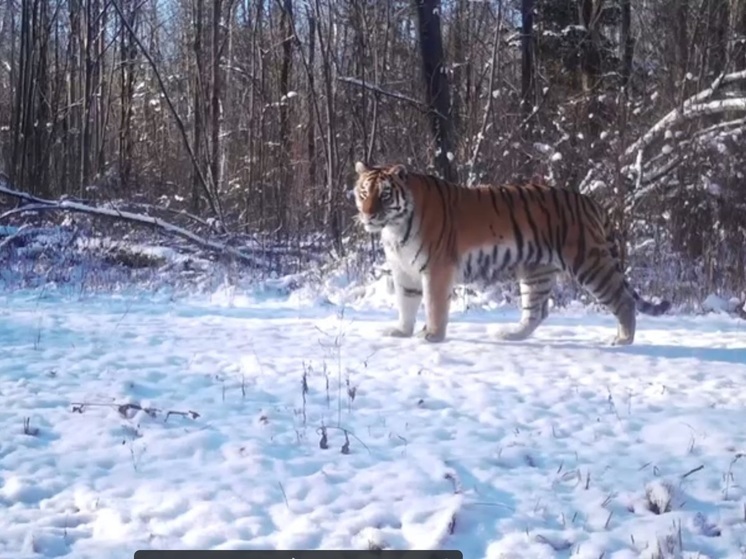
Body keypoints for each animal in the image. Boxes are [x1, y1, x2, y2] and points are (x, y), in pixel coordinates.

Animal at [348, 161, 668, 346]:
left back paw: (623, 339)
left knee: (623, 299)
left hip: (589, 262)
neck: (394, 228)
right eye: (363, 193)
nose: (367, 215)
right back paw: (510, 335)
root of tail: (591, 201)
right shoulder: (404, 270)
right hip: (536, 271)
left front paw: (432, 336)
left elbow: (435, 306)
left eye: (384, 195)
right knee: (537, 312)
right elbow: (406, 303)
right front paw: (401, 332)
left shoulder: (437, 269)